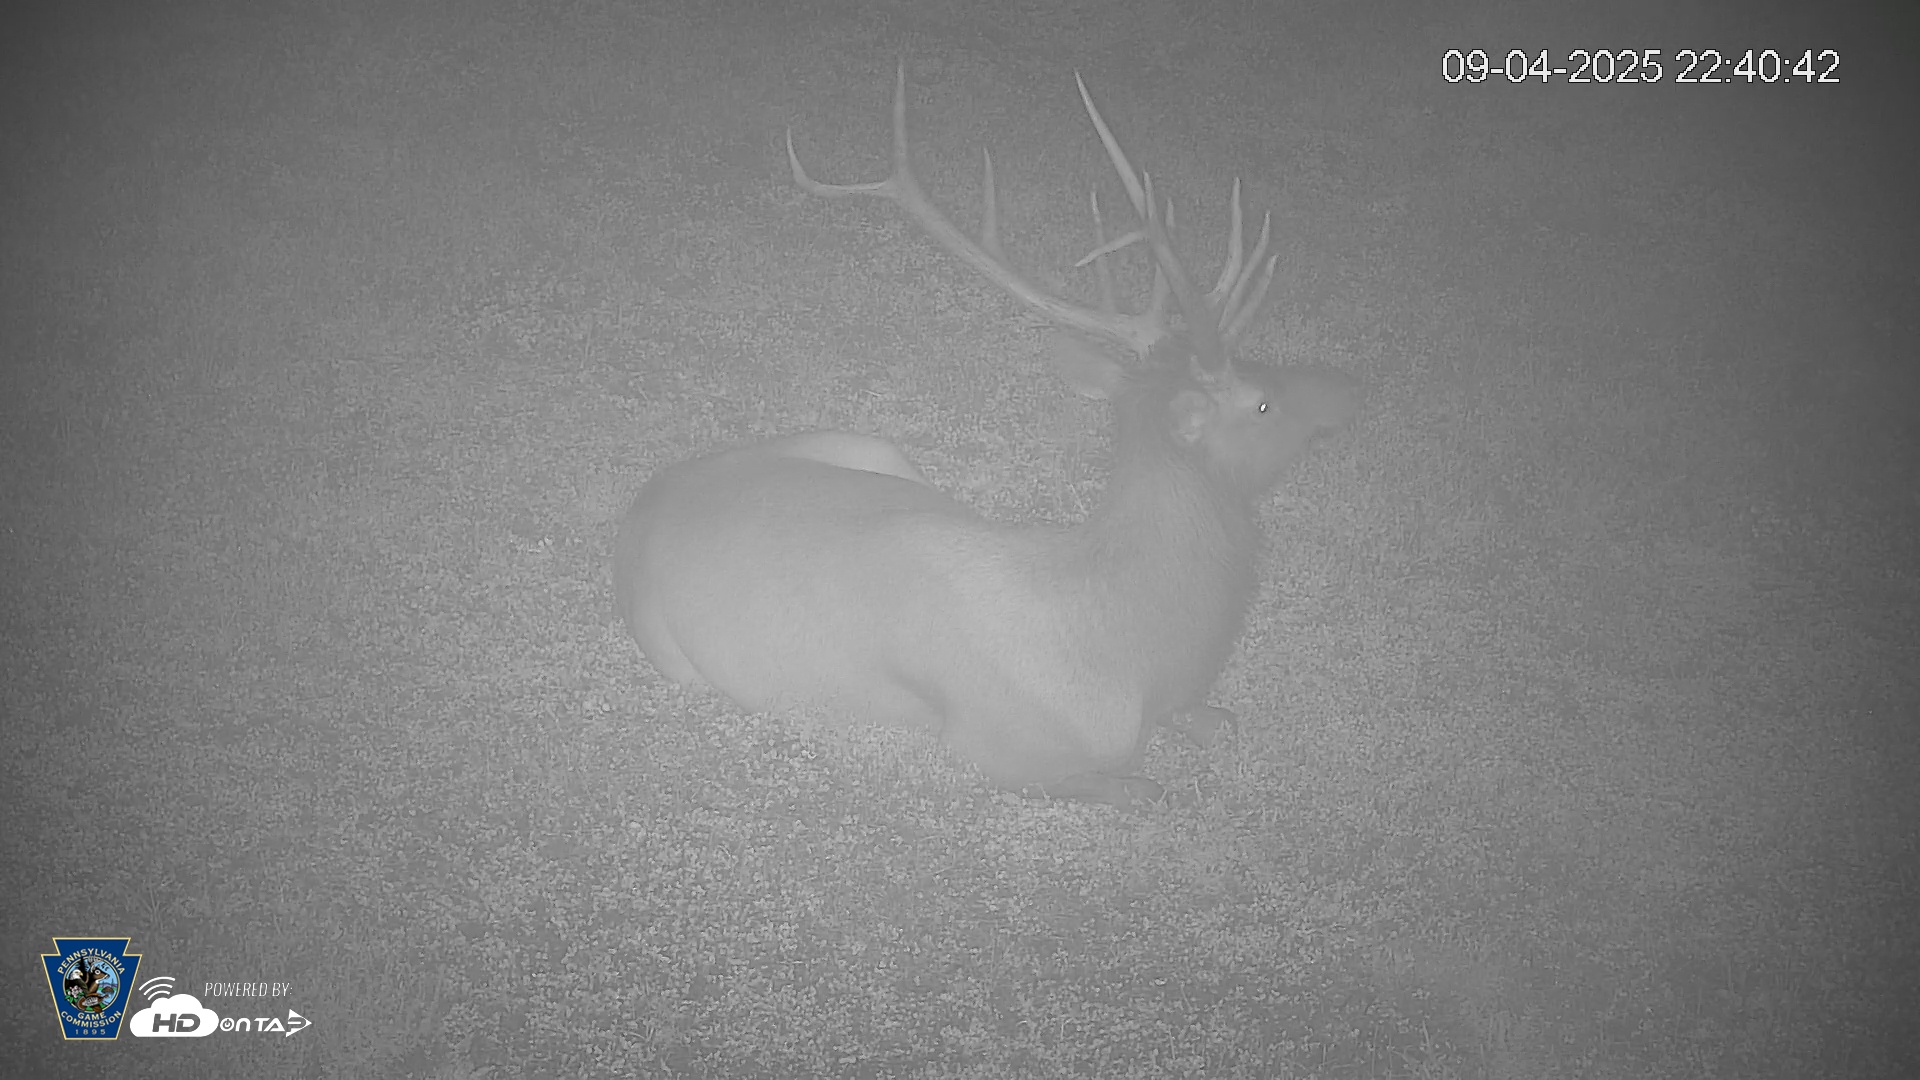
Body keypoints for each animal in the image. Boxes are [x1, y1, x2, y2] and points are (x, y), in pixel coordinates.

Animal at [613, 64, 1359, 806]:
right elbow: (1142, 786)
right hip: (673, 652)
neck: (1137, 649)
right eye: (1263, 403)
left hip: (872, 449)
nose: (1346, 387)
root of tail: (655, 491)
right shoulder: (995, 754)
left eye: (1263, 368)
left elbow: (1218, 721)